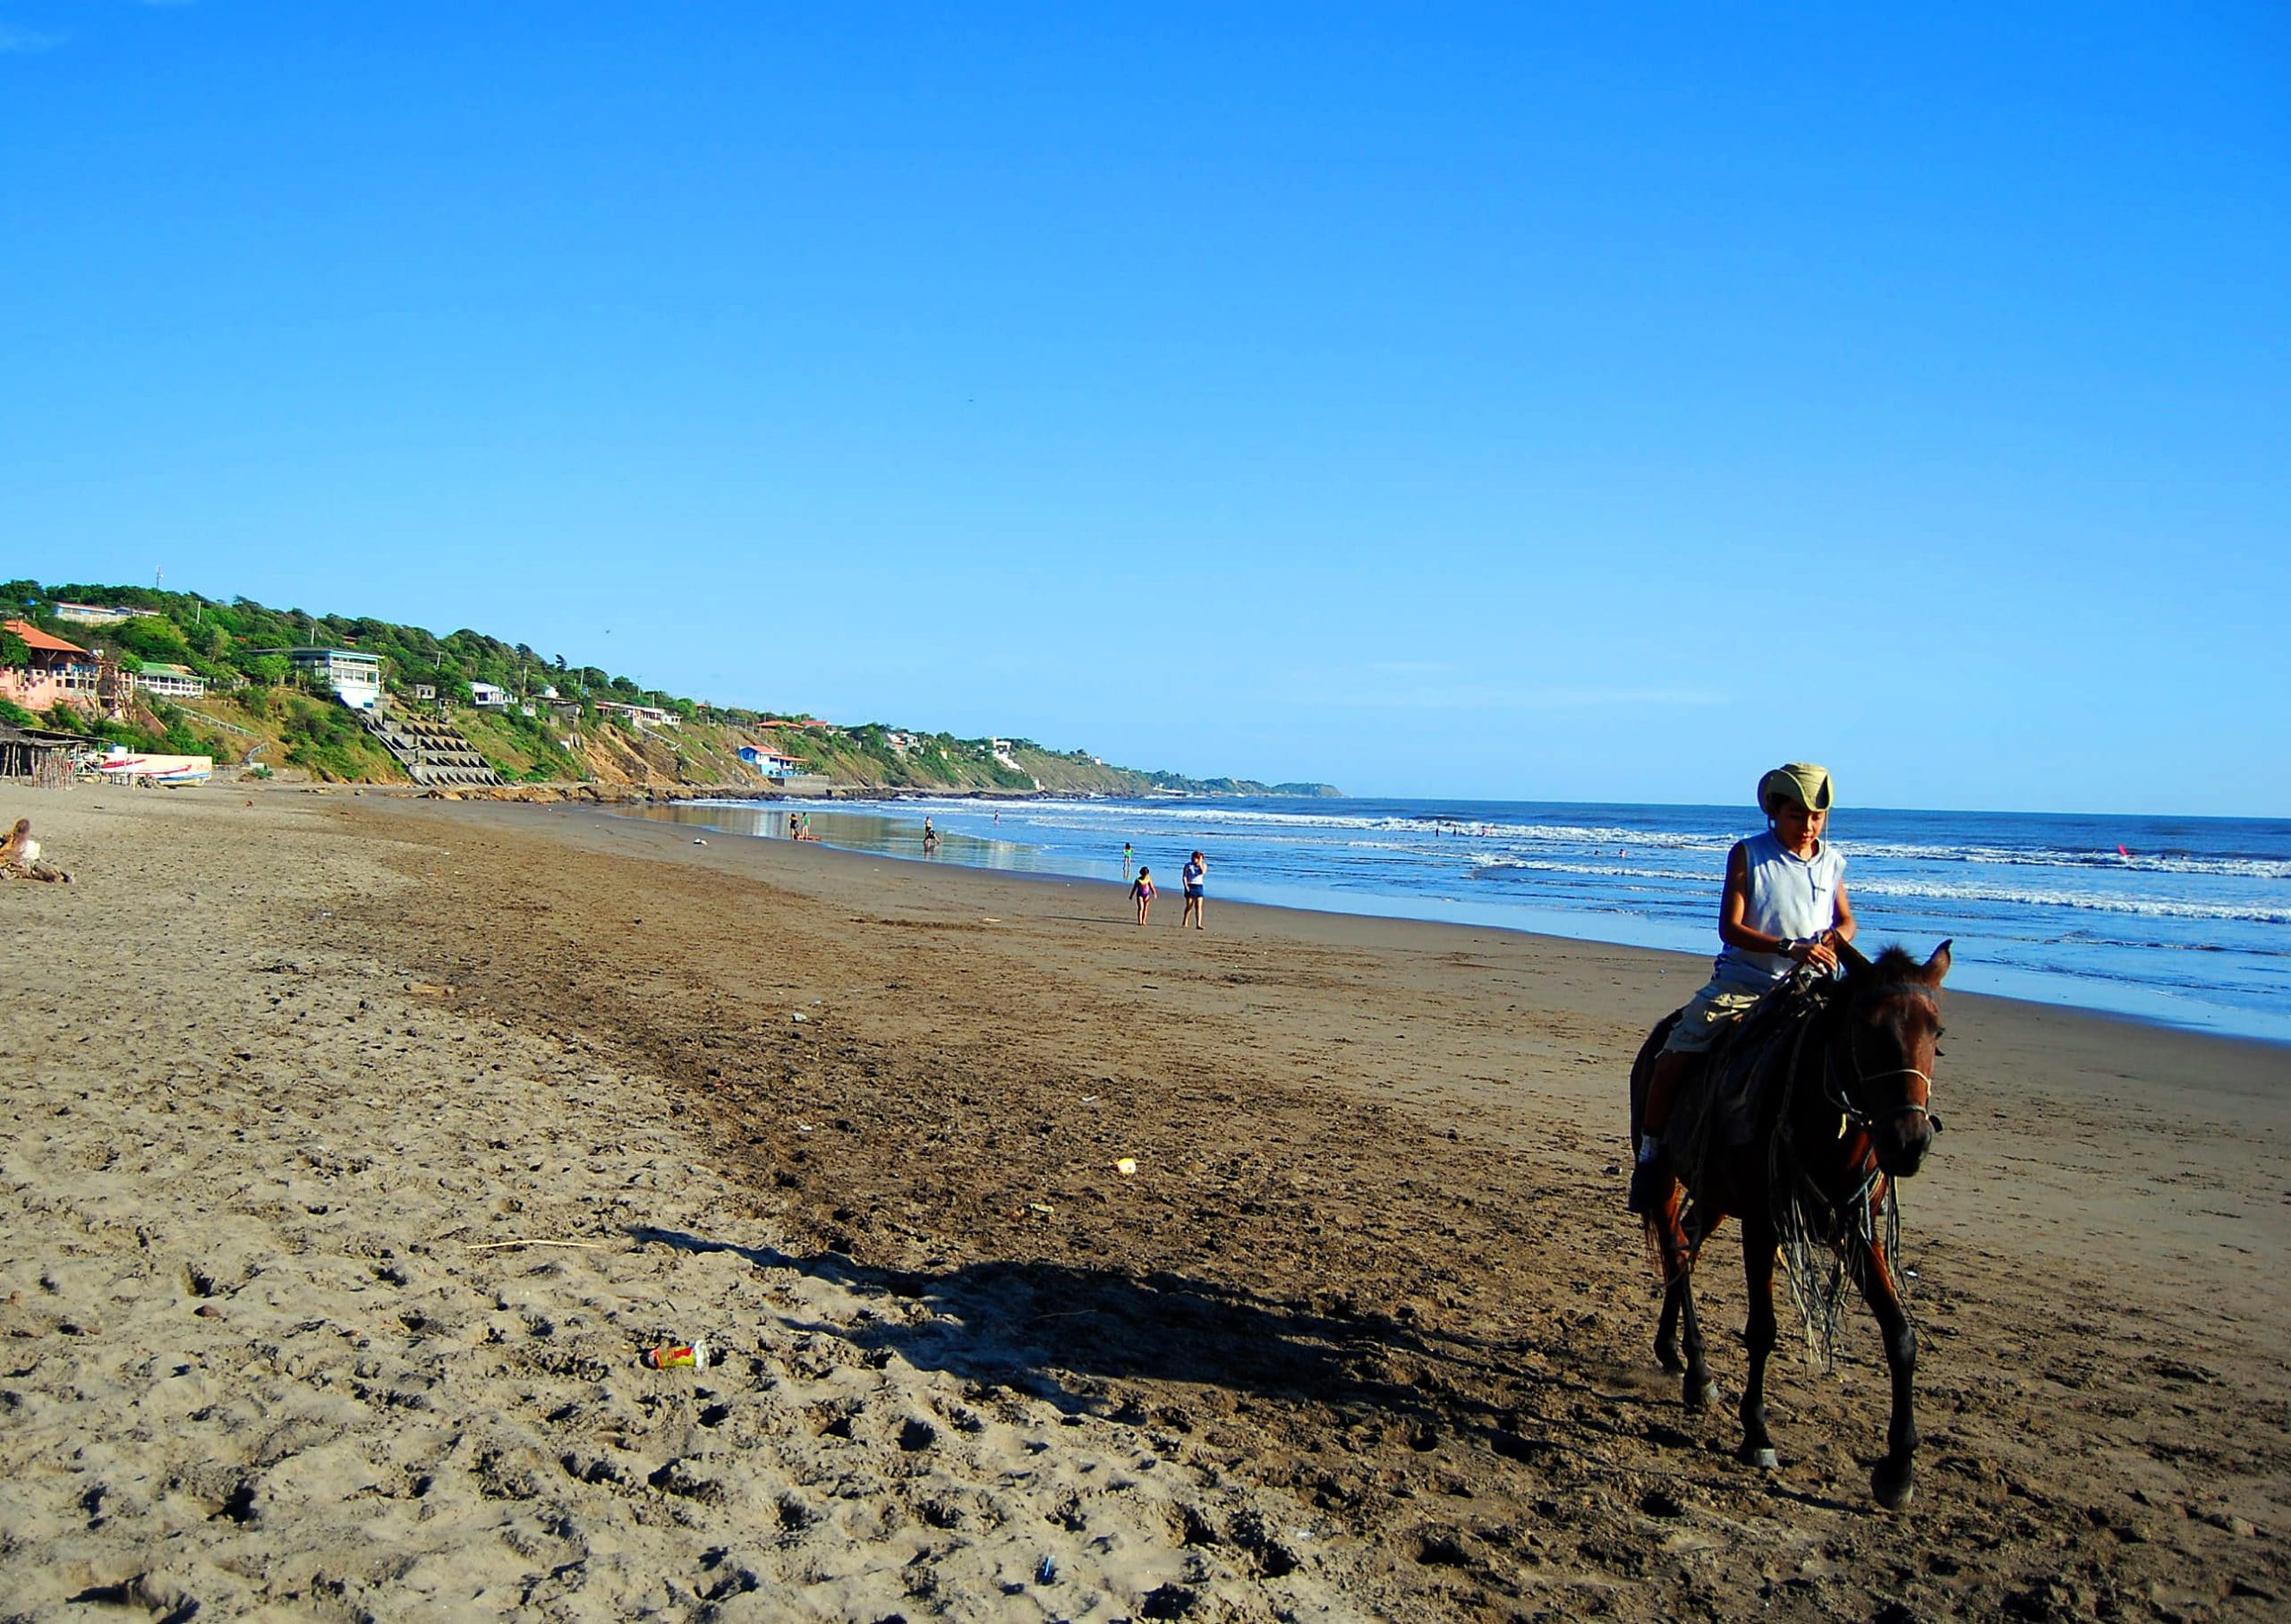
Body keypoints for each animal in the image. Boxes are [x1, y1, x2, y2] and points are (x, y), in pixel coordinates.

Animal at [1631, 939, 1952, 1511]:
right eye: (1867, 1027)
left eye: (1935, 1032)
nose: (1908, 1142)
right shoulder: (1763, 1224)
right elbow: (1762, 1330)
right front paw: (1756, 1434)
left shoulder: (1856, 1230)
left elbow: (1900, 1336)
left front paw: (1898, 1469)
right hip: (1667, 1179)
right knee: (1675, 1249)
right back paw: (1699, 1369)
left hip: (1715, 1196)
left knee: (1686, 1245)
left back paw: (1675, 1356)